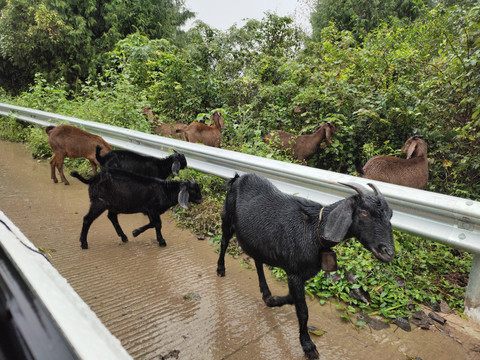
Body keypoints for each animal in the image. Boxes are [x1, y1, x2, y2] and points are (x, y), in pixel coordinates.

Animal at [70, 168, 202, 248]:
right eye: (193, 190)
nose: (201, 200)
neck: (165, 190)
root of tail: (92, 179)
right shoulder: (152, 209)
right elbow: (157, 224)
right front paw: (161, 241)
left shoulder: (149, 211)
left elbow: (153, 224)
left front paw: (136, 232)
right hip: (99, 202)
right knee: (87, 219)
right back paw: (84, 243)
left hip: (112, 205)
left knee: (111, 217)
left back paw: (124, 237)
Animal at [218, 173, 394, 358]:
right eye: (365, 212)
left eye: (391, 215)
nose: (388, 252)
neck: (315, 230)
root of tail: (238, 177)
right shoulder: (294, 274)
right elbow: (303, 311)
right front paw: (308, 346)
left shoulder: (300, 275)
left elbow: (292, 298)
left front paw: (274, 300)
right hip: (227, 219)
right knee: (224, 242)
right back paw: (220, 268)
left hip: (256, 240)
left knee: (258, 261)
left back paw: (266, 293)